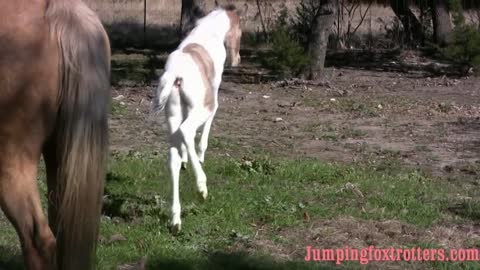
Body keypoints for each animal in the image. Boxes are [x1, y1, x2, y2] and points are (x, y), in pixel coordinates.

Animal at [153, 3, 244, 232]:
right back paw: (201, 187)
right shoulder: (213, 99)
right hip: (200, 109)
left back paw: (176, 220)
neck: (209, 31)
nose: (237, 60)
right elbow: (202, 137)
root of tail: (175, 75)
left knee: (173, 159)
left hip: (173, 115)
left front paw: (186, 159)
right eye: (241, 31)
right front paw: (201, 157)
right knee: (187, 130)